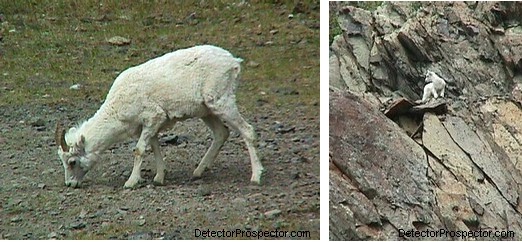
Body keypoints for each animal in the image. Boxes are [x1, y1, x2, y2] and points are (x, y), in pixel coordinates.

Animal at [55, 45, 264, 189]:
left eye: (72, 162)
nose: (70, 184)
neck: (117, 109)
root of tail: (233, 62)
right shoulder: (150, 126)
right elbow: (155, 148)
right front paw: (159, 178)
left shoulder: (152, 118)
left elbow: (139, 150)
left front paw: (131, 182)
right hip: (207, 111)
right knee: (222, 133)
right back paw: (198, 172)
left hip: (222, 103)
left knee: (247, 131)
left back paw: (256, 177)